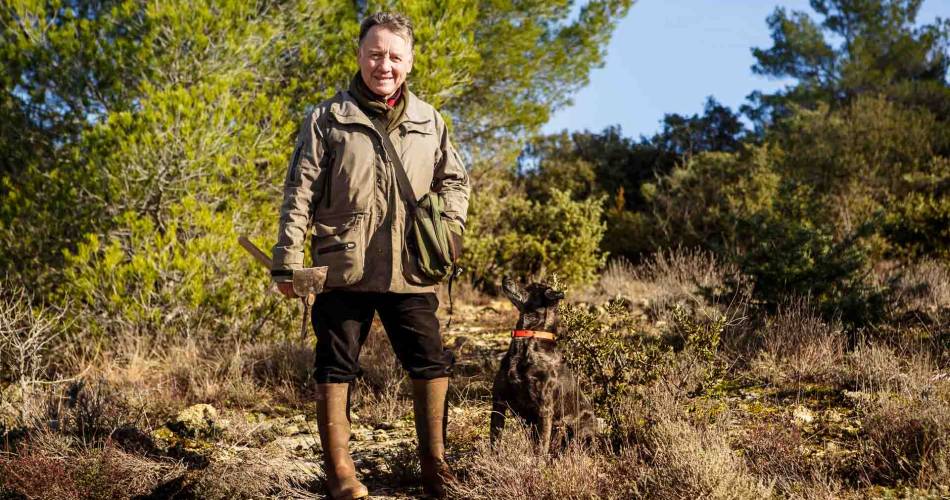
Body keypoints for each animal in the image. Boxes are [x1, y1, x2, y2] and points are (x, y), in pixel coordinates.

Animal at [490, 278, 596, 454]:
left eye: (530, 287)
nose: (505, 278)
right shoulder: (498, 402)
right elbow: (494, 439)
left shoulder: (544, 409)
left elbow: (541, 447)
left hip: (578, 429)